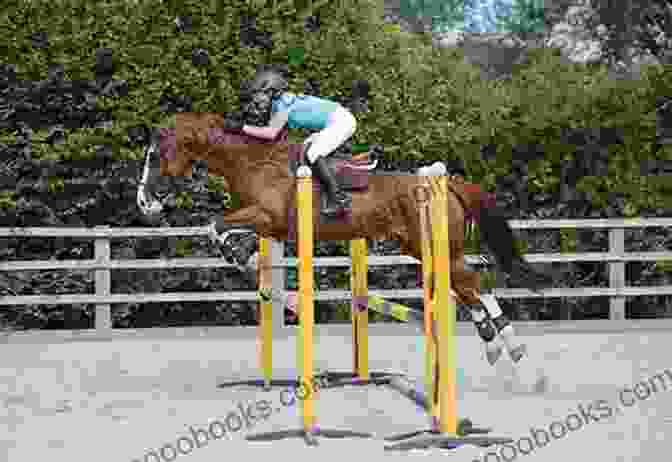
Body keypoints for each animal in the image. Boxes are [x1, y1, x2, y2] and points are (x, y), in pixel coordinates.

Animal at [136, 113, 552, 368]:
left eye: (156, 156)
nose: (144, 203)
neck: (251, 161)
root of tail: (446, 182)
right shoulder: (269, 227)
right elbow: (227, 232)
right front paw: (248, 263)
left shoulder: (265, 216)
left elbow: (215, 225)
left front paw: (238, 257)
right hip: (423, 250)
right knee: (467, 286)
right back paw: (496, 340)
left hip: (439, 250)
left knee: (473, 282)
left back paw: (505, 341)